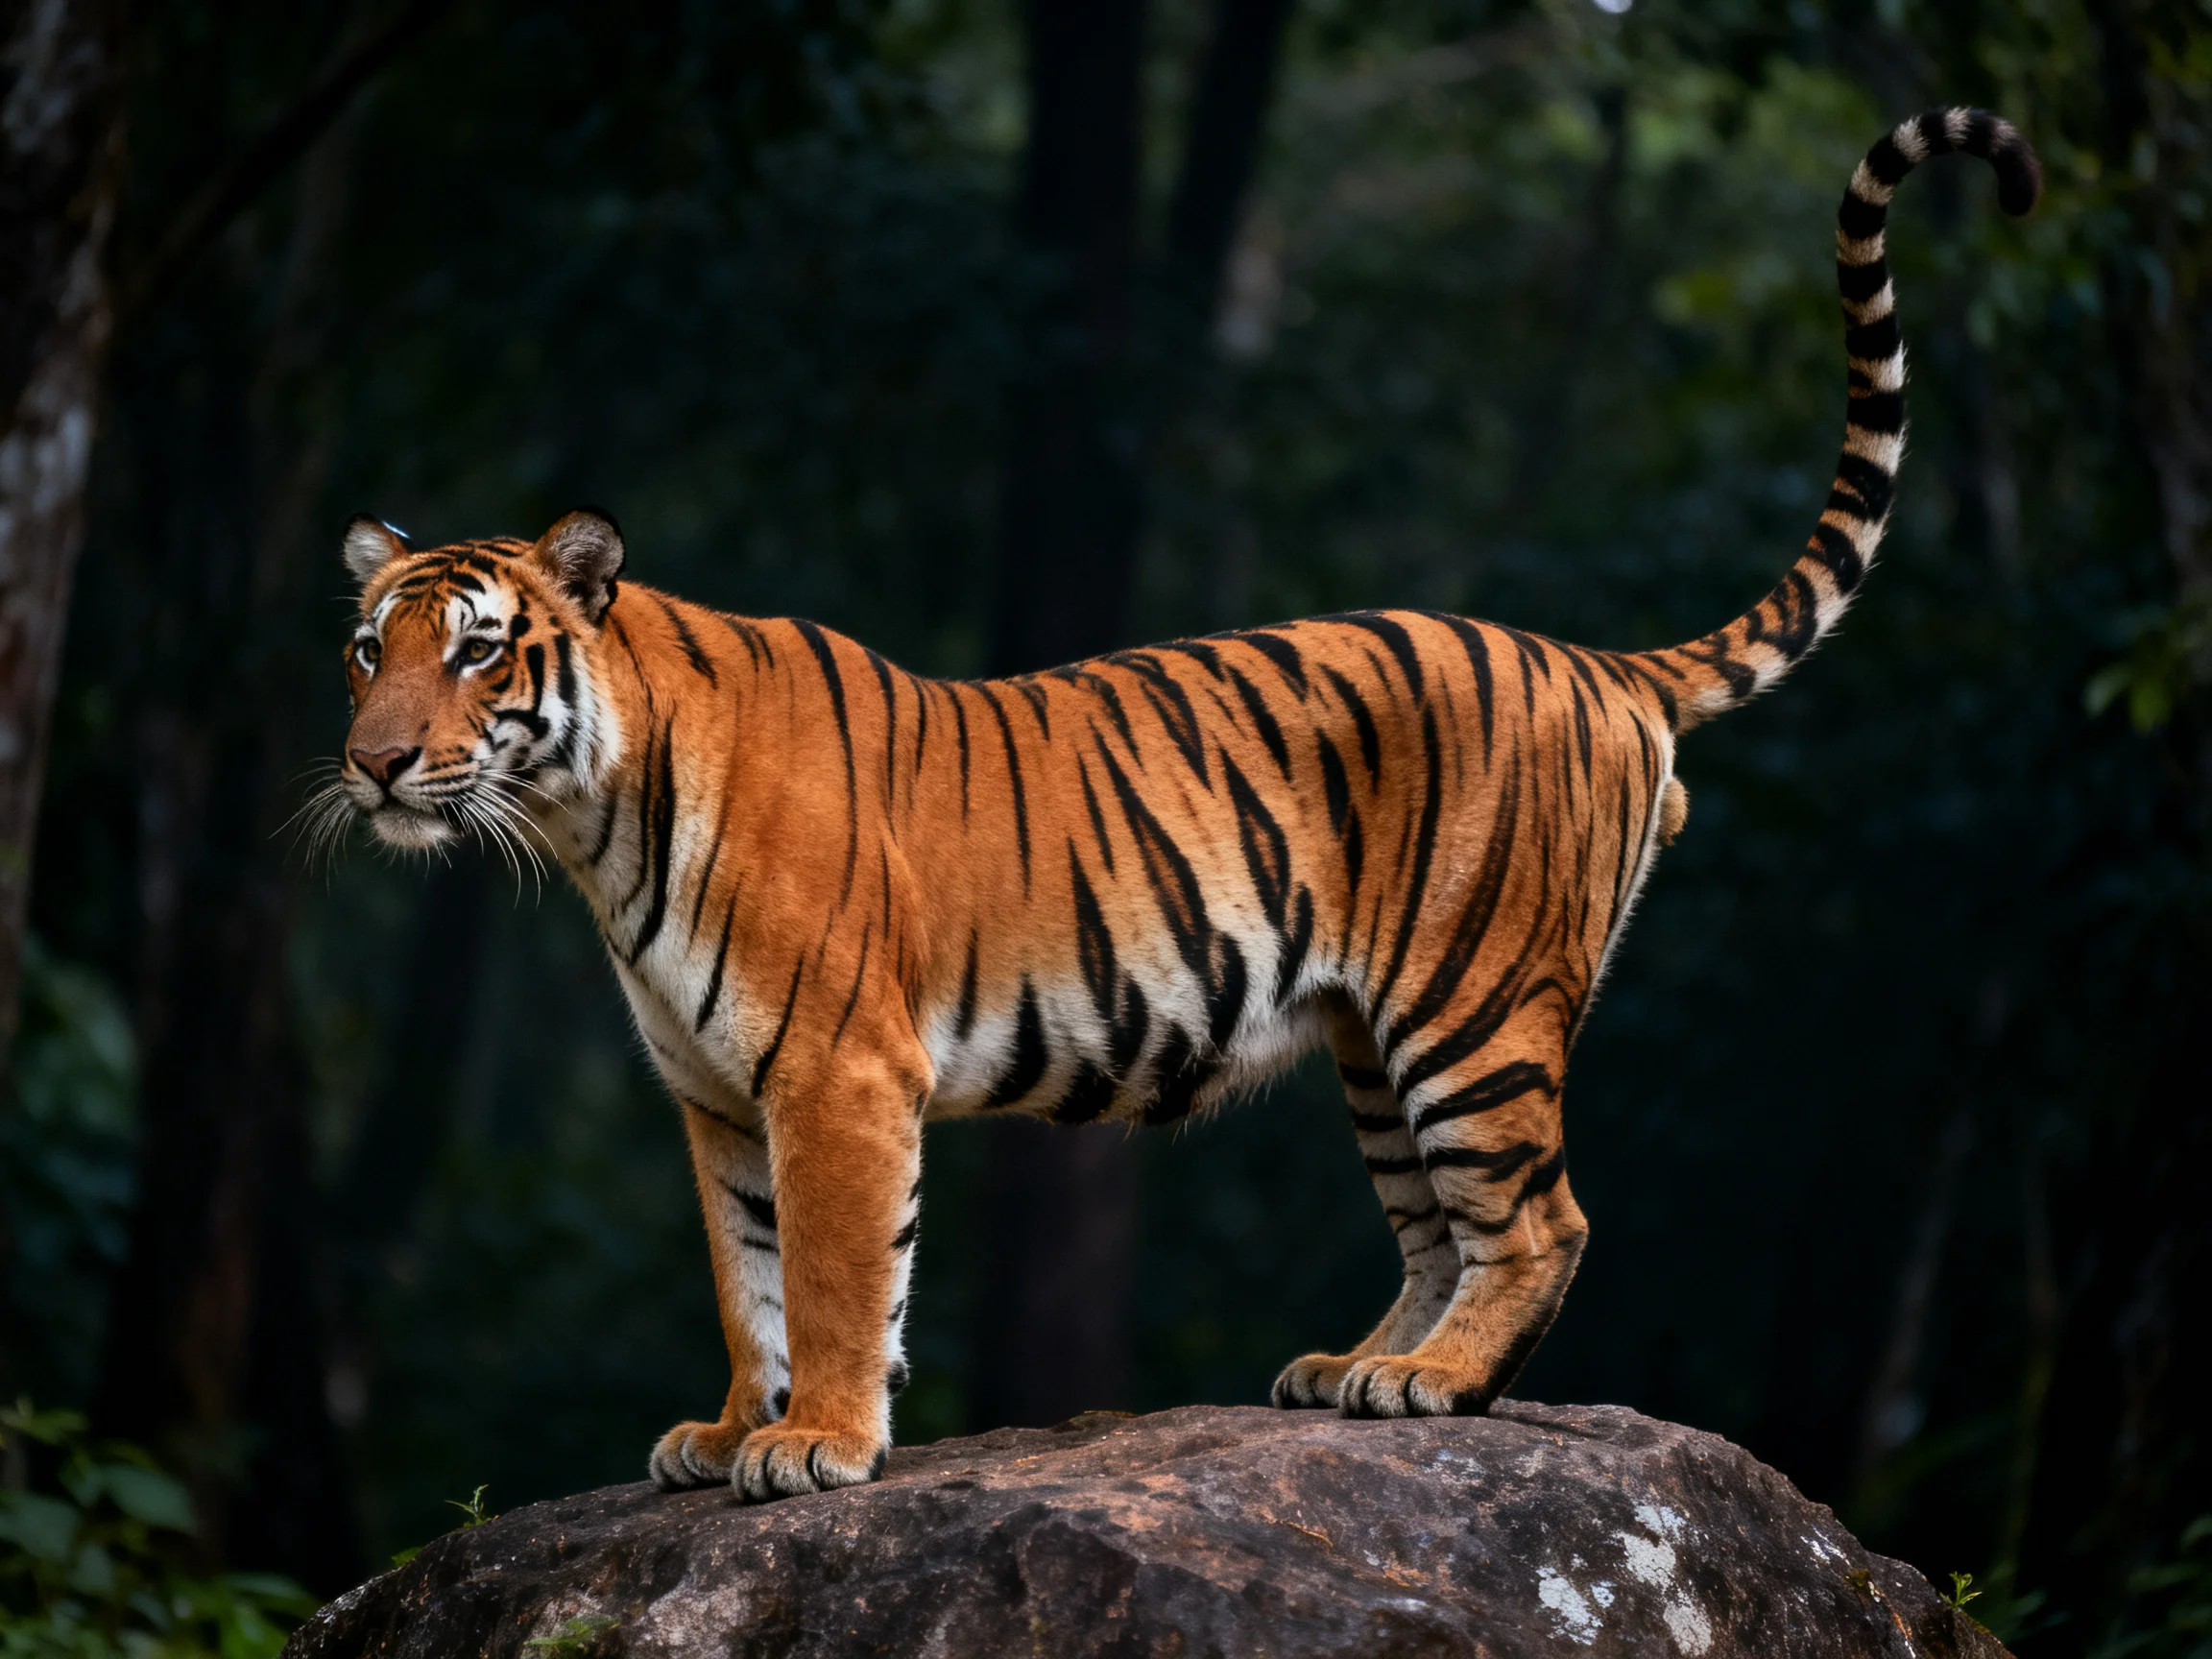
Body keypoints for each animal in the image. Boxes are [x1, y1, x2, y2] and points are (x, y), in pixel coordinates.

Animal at [327, 108, 2039, 1500]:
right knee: (1440, 1225)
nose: (374, 763)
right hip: (1372, 1040)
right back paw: (1356, 1372)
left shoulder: (836, 1076)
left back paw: (1432, 1385)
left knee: (1540, 1222)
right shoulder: (715, 1095)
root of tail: (1594, 659)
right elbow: (747, 1278)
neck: (592, 820)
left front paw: (815, 1443)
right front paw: (738, 1425)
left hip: (1475, 1008)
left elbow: (829, 1278)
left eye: (475, 651)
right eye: (367, 650)